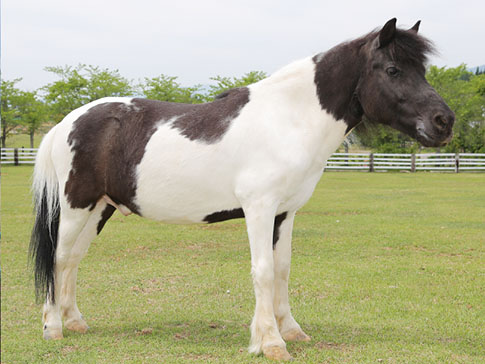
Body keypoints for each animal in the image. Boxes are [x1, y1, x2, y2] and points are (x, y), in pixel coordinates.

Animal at [30, 19, 454, 362]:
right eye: (393, 69)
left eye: (422, 69)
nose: (444, 121)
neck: (287, 120)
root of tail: (68, 121)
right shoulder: (259, 209)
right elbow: (262, 271)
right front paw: (270, 343)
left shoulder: (286, 212)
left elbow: (282, 269)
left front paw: (291, 330)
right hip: (76, 206)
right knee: (59, 258)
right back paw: (53, 328)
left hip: (100, 208)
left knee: (74, 260)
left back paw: (75, 321)